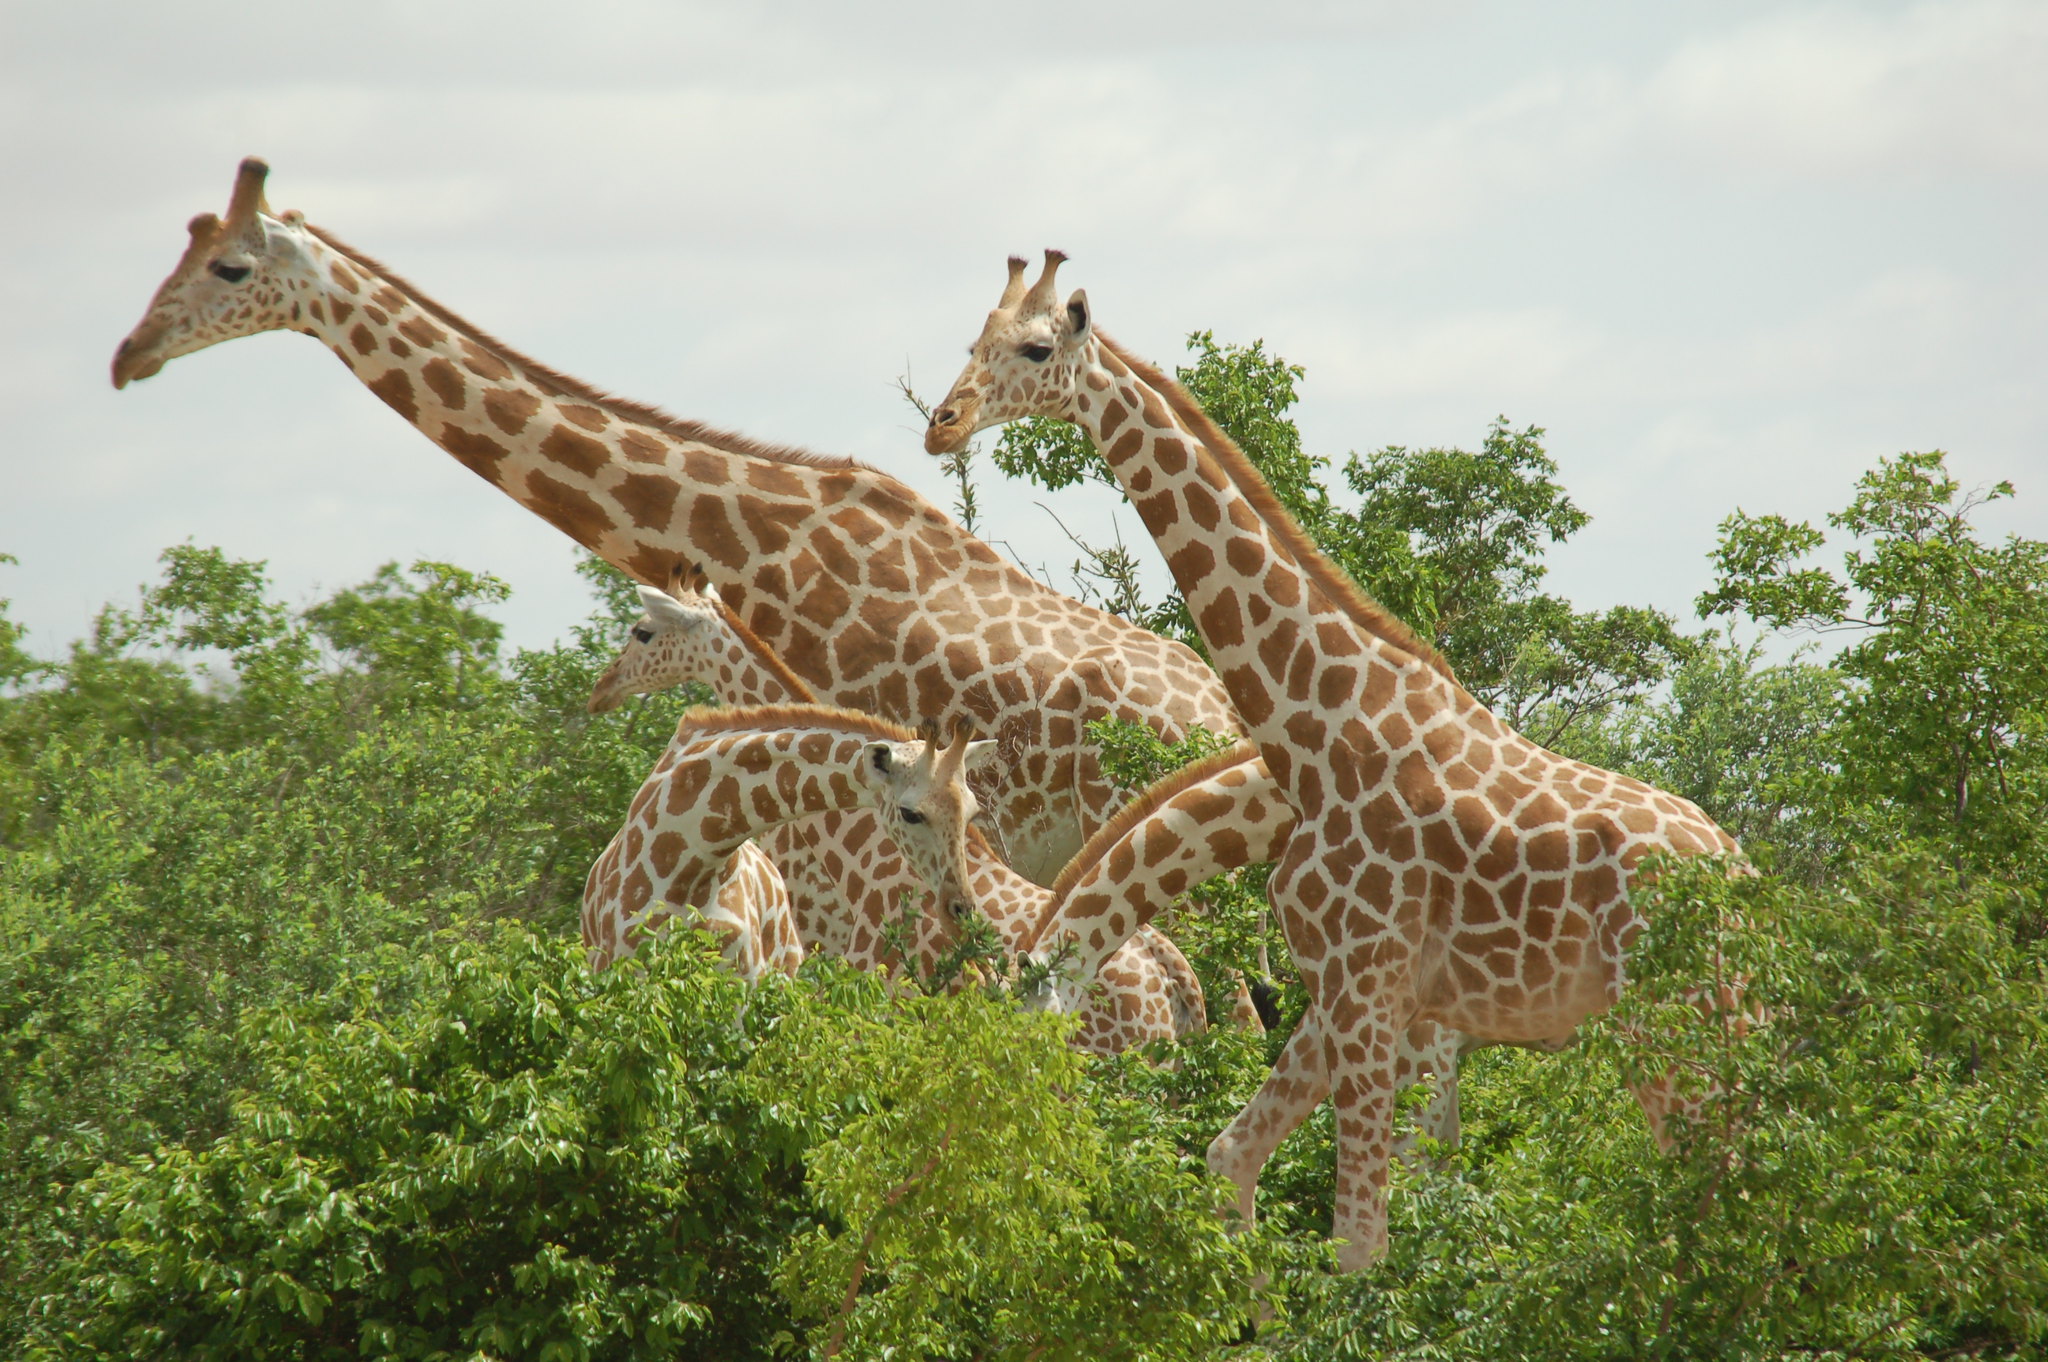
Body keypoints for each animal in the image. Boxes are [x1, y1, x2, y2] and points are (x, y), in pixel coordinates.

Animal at [929, 251, 1744, 1261]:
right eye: (974, 339)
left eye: (1036, 348)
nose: (941, 422)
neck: (1316, 730)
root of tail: (1746, 873)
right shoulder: (1344, 993)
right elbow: (1233, 1156)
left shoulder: (1372, 992)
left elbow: (1361, 1241)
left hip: (1672, 1021)